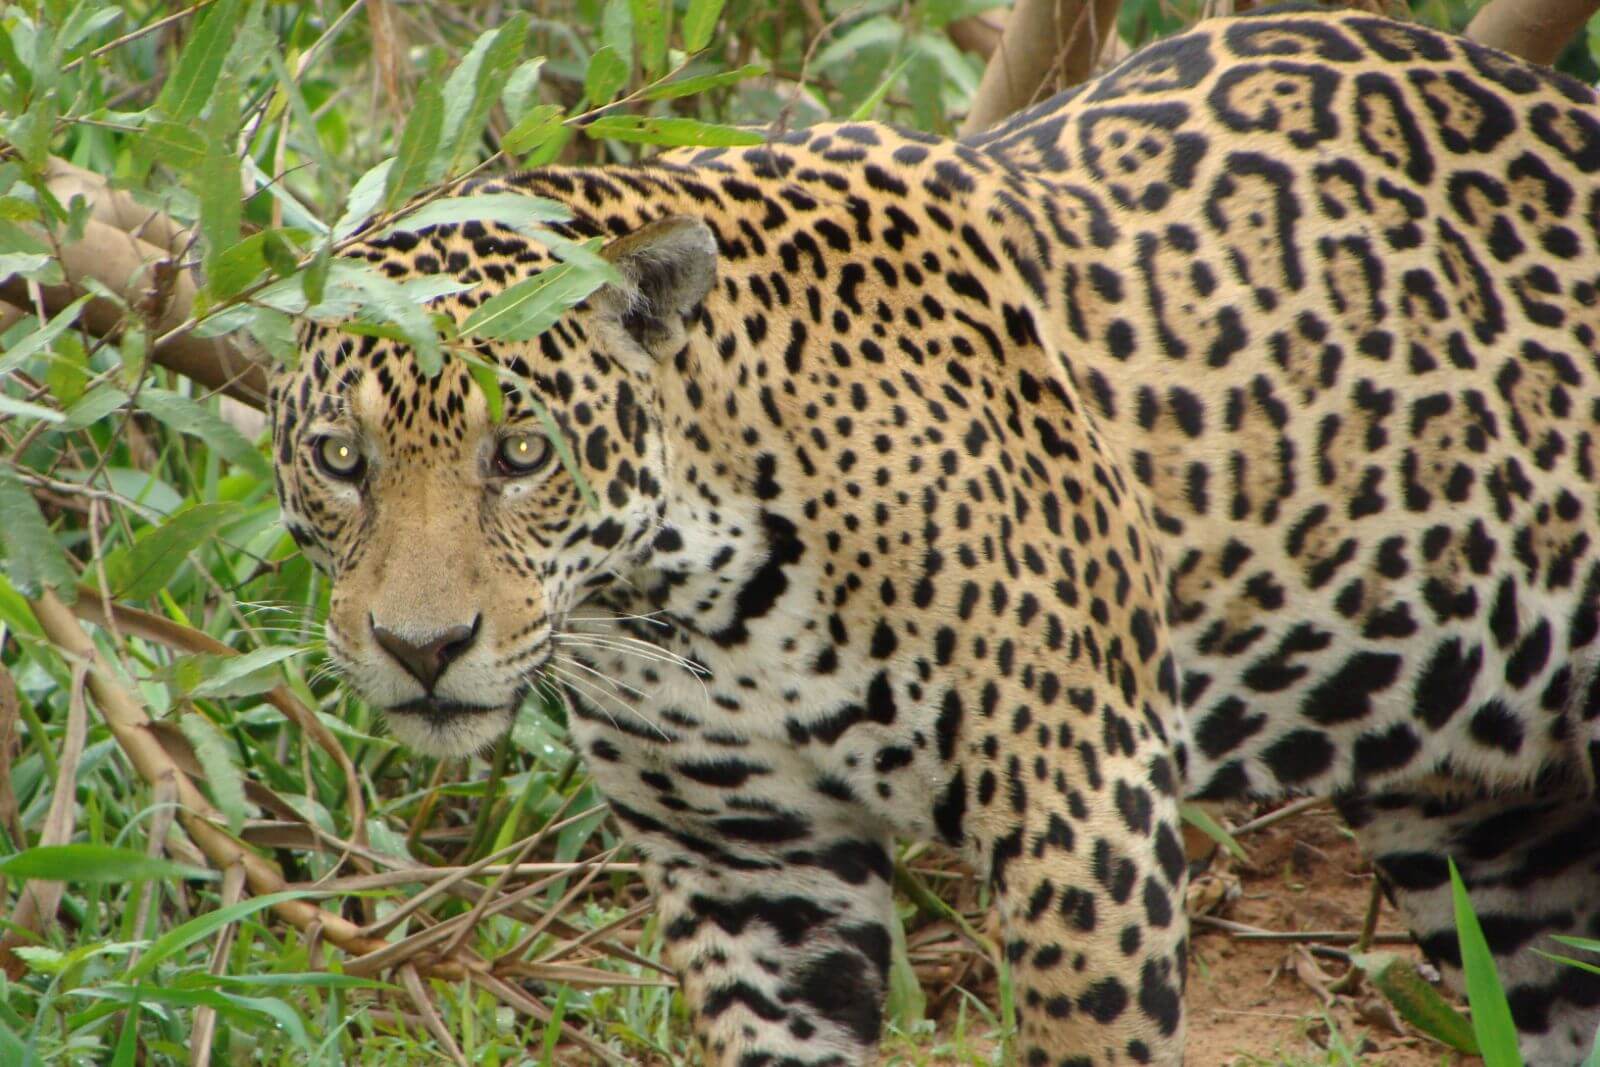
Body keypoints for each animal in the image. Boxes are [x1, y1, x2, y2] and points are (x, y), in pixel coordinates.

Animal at [269, 6, 1600, 1064]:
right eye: (341, 460)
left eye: (522, 454)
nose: (422, 647)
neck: (689, 602)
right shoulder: (751, 868)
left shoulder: (1082, 807)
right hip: (1486, 822)